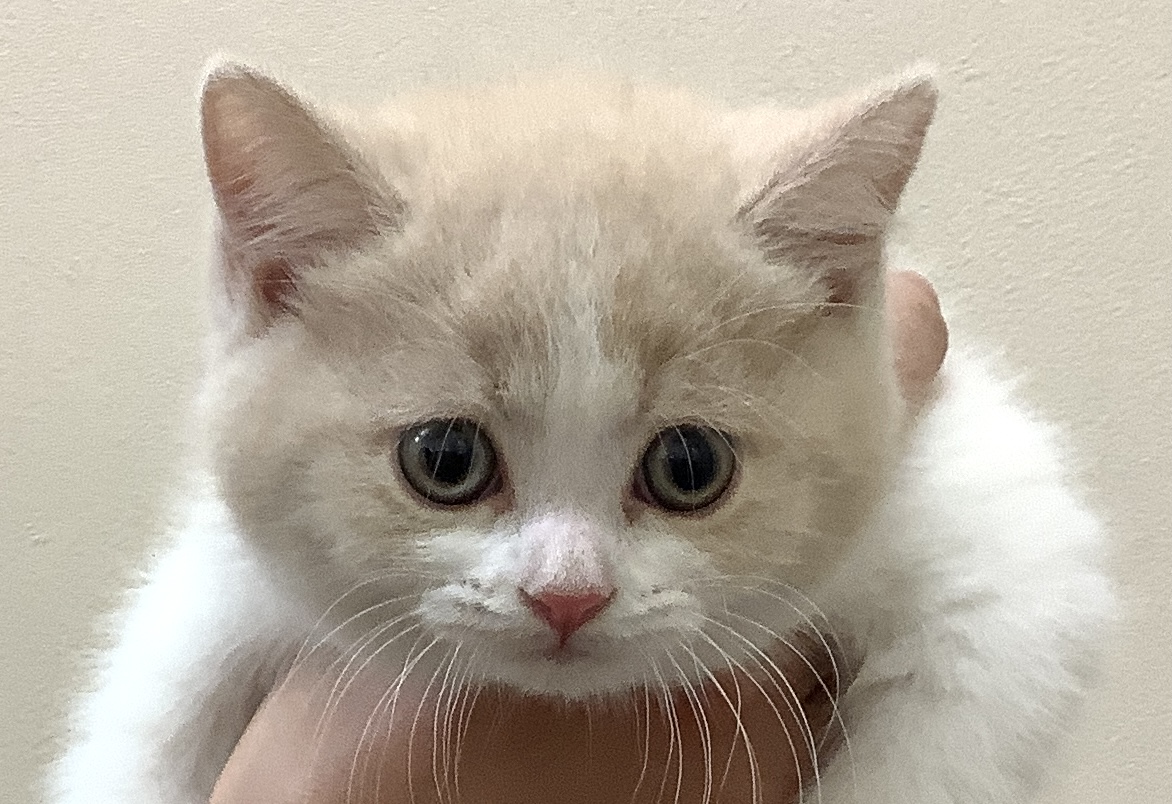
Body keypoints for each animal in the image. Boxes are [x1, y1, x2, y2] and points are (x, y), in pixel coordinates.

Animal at [49, 62, 1112, 803]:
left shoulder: (989, 510)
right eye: (445, 460)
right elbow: (150, 703)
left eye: (691, 466)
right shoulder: (226, 571)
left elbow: (956, 717)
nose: (568, 596)